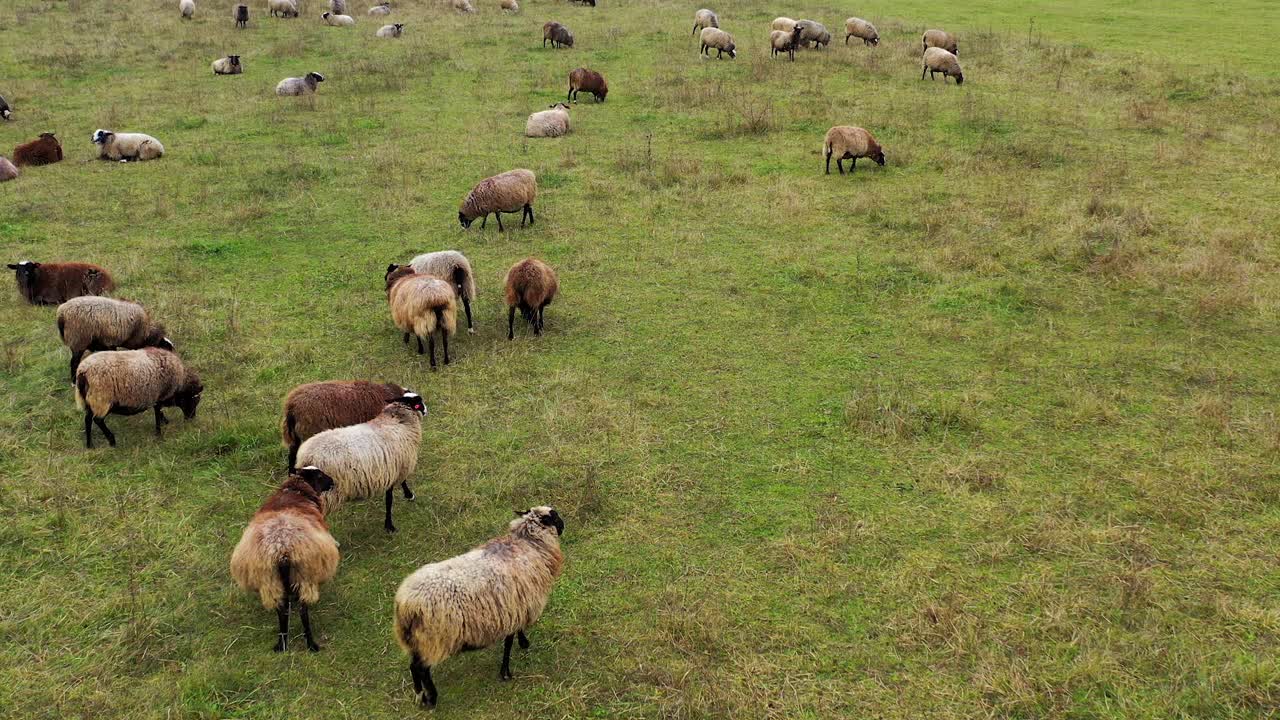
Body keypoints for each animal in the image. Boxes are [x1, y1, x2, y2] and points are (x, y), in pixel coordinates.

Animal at [74, 345, 202, 445]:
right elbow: (157, 413)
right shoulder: (158, 397)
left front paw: (164, 423)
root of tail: (83, 371)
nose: (191, 418)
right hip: (102, 399)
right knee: (98, 420)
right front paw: (159, 433)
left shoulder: (156, 397)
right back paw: (111, 440)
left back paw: (90, 445)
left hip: (90, 400)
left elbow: (159, 412)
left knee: (88, 419)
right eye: (193, 400)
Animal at [230, 466, 340, 650]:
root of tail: (281, 548)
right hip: (304, 575)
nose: (333, 482)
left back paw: (282, 643)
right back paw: (311, 644)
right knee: (303, 611)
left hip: (271, 580)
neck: (296, 491)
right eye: (320, 475)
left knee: (282, 611)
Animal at [293, 386, 427, 532]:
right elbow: (392, 496)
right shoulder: (397, 467)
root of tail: (306, 456)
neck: (398, 420)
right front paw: (391, 523)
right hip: (326, 494)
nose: (426, 410)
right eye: (418, 403)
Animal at [394, 504, 565, 707]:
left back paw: (419, 694)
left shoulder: (516, 607)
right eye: (555, 517)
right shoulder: (514, 608)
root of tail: (405, 604)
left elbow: (515, 633)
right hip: (433, 638)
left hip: (416, 639)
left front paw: (523, 643)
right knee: (422, 669)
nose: (563, 526)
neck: (528, 543)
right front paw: (506, 672)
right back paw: (432, 698)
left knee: (414, 666)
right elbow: (508, 642)